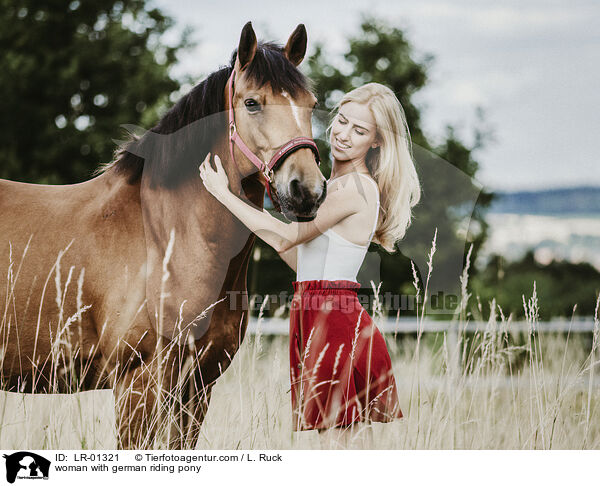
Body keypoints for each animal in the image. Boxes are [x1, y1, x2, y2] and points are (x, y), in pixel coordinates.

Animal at [0, 21, 326, 448]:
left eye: (311, 103)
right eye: (253, 103)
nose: (307, 190)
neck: (166, 237)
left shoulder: (197, 388)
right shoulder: (137, 384)